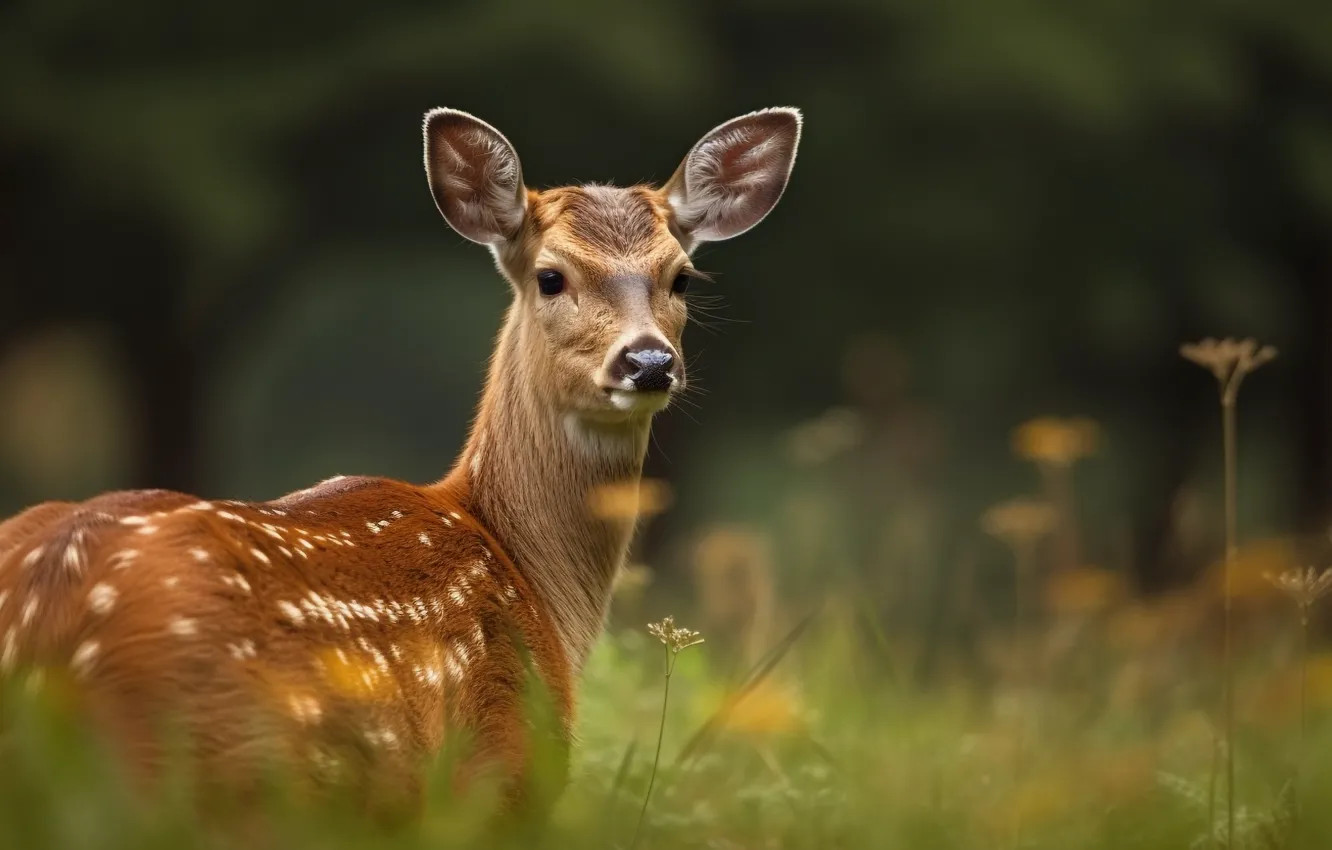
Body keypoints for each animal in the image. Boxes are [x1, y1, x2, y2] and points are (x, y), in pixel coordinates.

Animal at [0, 106, 802, 825]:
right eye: (551, 277)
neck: (526, 575)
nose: (647, 362)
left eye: (682, 277)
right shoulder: (500, 779)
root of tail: (48, 616)